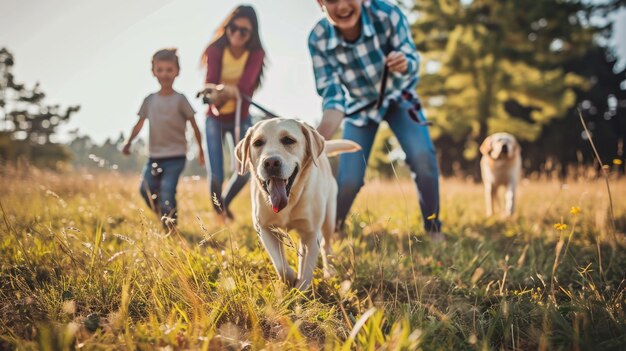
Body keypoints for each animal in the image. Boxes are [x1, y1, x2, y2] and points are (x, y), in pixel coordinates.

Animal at [234, 118, 358, 292]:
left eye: (288, 140)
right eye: (258, 143)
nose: (271, 162)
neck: (290, 200)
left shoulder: (311, 233)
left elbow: (306, 269)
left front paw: (301, 292)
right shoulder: (265, 229)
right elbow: (280, 265)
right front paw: (290, 279)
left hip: (329, 220)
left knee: (326, 246)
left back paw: (328, 271)